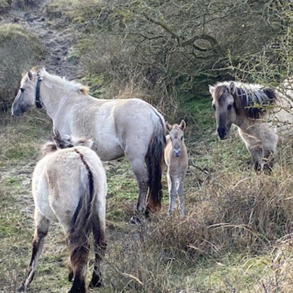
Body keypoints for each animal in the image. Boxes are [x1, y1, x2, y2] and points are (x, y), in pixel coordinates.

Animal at [11, 66, 165, 221]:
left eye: (22, 89)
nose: (14, 110)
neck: (64, 103)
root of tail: (152, 112)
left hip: (136, 158)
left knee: (143, 182)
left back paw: (137, 215)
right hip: (148, 157)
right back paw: (147, 211)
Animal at [18, 133, 107, 292]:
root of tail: (83, 164)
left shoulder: (40, 215)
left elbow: (37, 243)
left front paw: (25, 282)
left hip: (68, 218)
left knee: (79, 248)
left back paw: (77, 287)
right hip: (98, 210)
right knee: (99, 243)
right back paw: (96, 280)